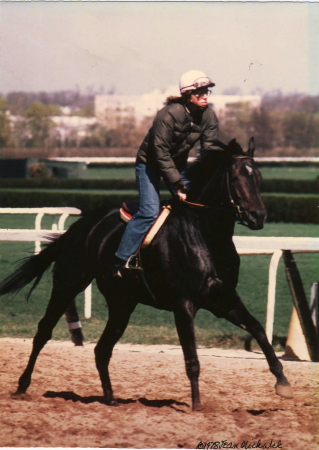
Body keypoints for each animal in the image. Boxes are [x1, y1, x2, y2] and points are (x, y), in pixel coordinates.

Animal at [0, 138, 296, 412]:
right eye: (235, 177)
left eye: (258, 177)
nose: (258, 216)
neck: (205, 235)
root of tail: (81, 226)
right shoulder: (184, 304)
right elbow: (192, 359)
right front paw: (196, 405)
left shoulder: (222, 299)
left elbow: (258, 329)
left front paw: (282, 382)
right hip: (69, 282)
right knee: (44, 331)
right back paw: (22, 385)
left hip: (122, 303)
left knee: (102, 349)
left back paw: (110, 399)